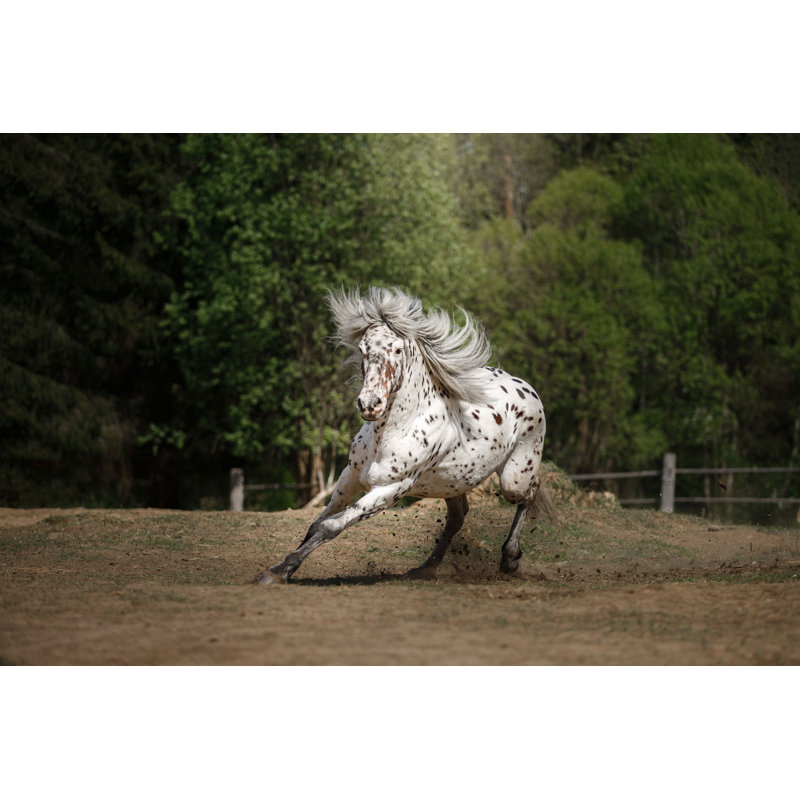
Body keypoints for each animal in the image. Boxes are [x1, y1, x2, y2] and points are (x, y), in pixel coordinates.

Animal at [254, 286, 553, 585]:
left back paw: (510, 559)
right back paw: (426, 568)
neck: (391, 433)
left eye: (397, 349)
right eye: (362, 349)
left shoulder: (390, 489)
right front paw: (278, 569)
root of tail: (526, 387)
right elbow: (315, 524)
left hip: (513, 479)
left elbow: (330, 526)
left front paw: (278, 571)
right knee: (458, 517)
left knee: (530, 492)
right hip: (452, 482)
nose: (370, 404)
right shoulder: (350, 476)